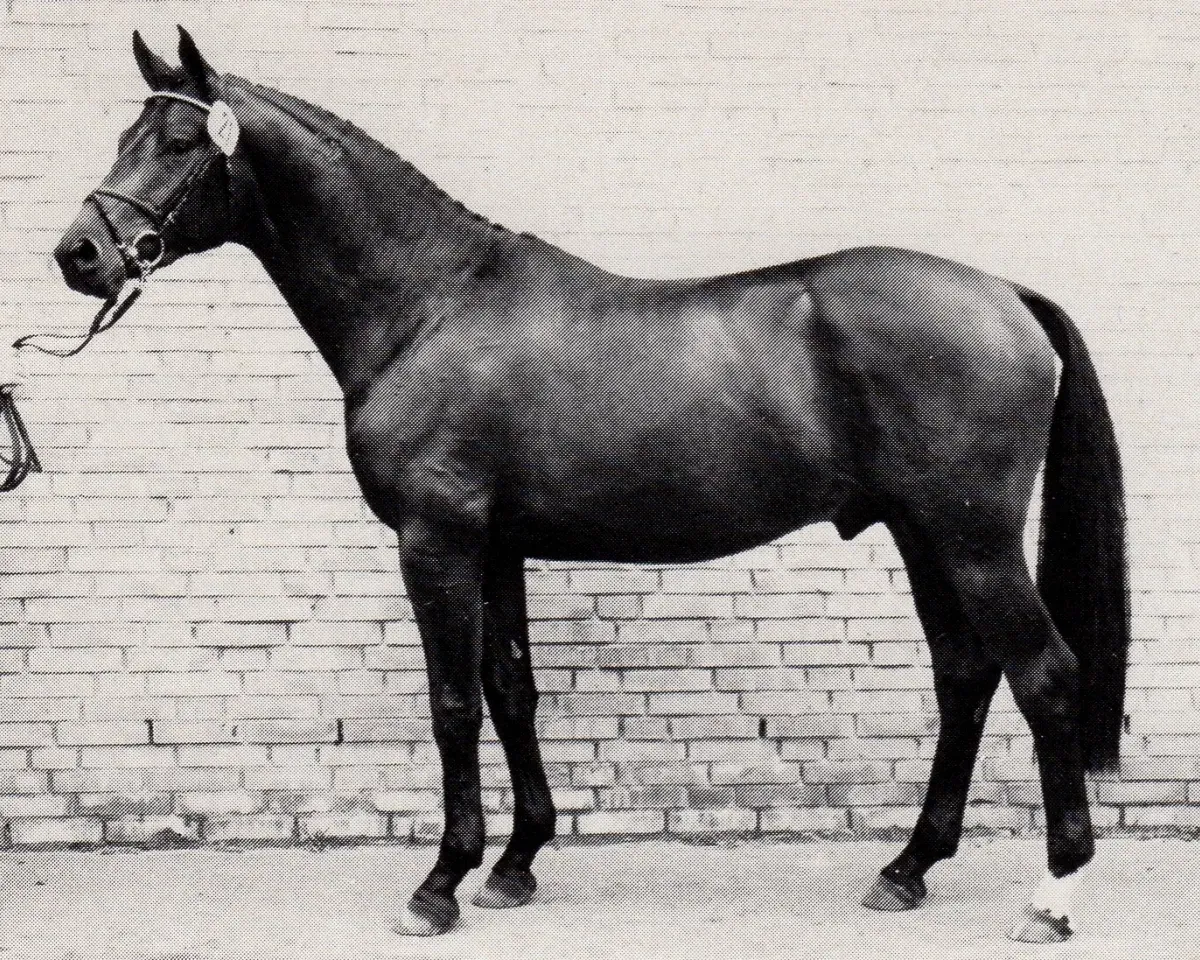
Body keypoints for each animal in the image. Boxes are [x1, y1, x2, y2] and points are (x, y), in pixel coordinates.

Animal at [50, 29, 1128, 943]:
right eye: (124, 135)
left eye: (179, 140)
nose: (79, 254)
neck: (429, 305)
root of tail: (1004, 295)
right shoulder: (496, 544)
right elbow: (512, 689)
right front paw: (515, 864)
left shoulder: (436, 540)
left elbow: (453, 700)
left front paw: (439, 885)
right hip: (922, 533)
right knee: (965, 676)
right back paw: (907, 868)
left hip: (972, 539)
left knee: (1043, 676)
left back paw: (1052, 896)